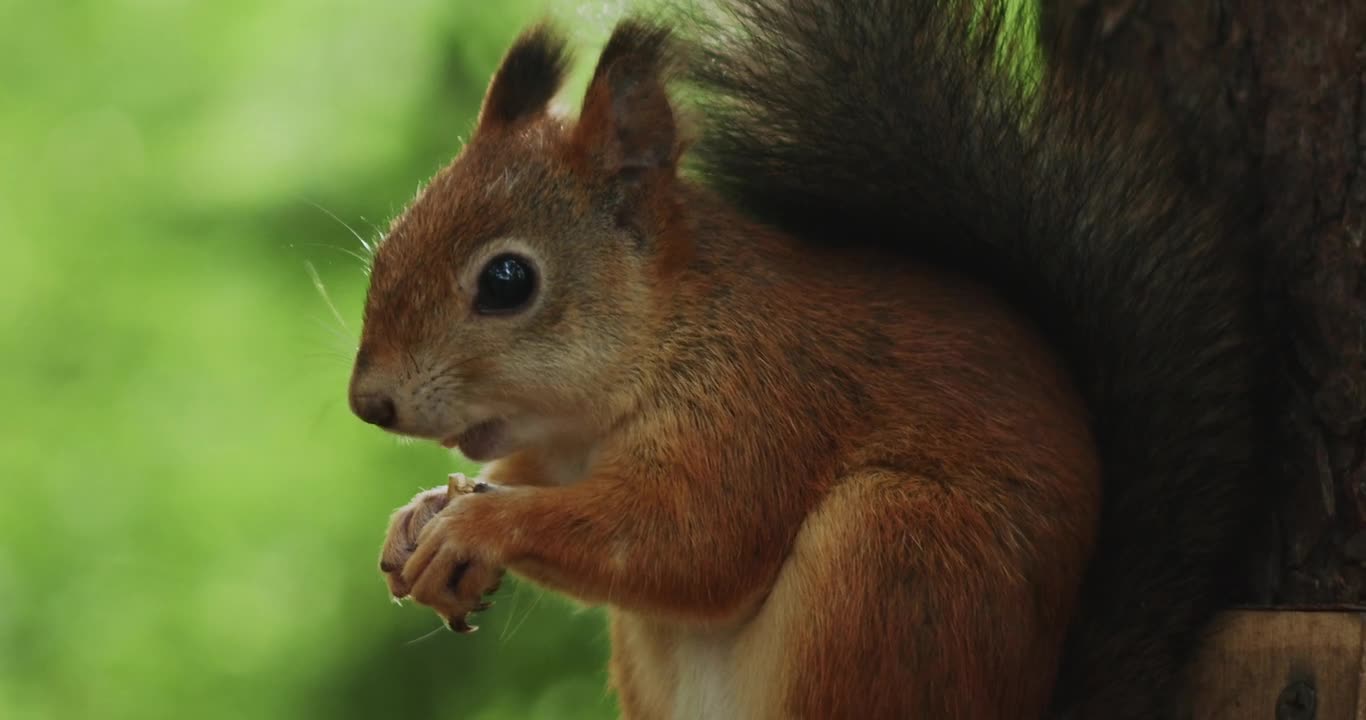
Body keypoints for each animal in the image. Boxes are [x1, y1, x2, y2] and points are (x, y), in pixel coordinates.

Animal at [346, 1, 1262, 720]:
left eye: (507, 281)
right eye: (388, 246)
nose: (369, 404)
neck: (664, 338)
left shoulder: (762, 403)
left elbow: (690, 540)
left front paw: (477, 526)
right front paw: (419, 517)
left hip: (893, 552)